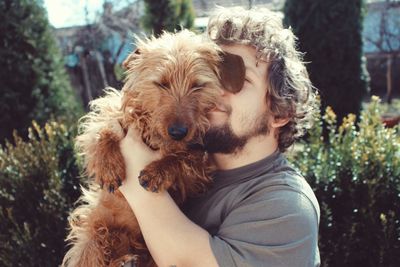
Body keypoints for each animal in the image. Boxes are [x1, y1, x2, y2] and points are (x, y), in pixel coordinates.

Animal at [61, 29, 245, 267]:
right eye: (161, 83)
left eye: (198, 85)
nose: (178, 131)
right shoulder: (111, 111)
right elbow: (104, 128)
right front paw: (108, 166)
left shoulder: (201, 169)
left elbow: (185, 158)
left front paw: (159, 171)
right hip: (94, 233)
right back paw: (122, 260)